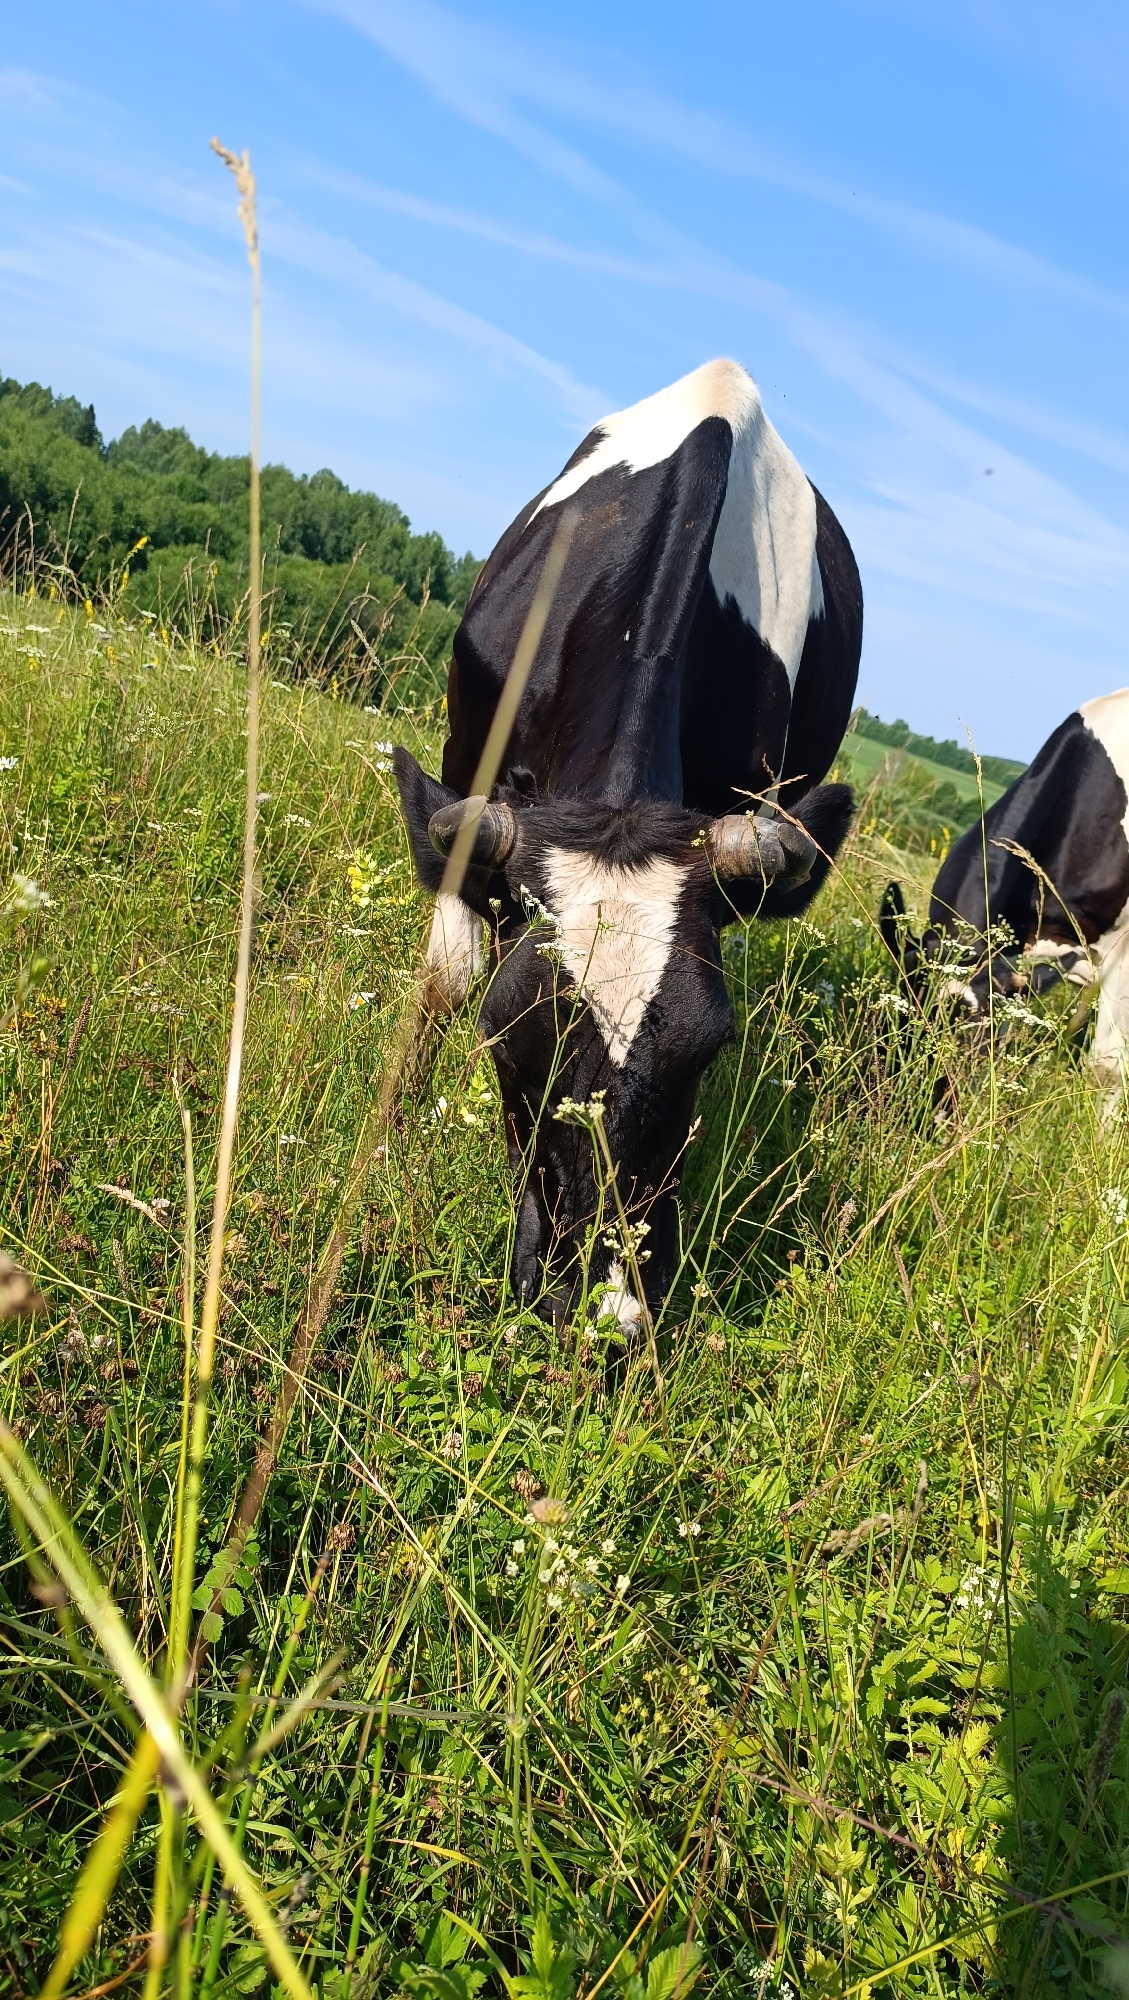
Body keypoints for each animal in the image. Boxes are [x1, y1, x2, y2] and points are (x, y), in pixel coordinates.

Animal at [394, 358, 863, 1328]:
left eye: (709, 1047)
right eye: (507, 1035)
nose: (598, 1308)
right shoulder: (465, 774)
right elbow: (447, 974)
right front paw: (393, 1126)